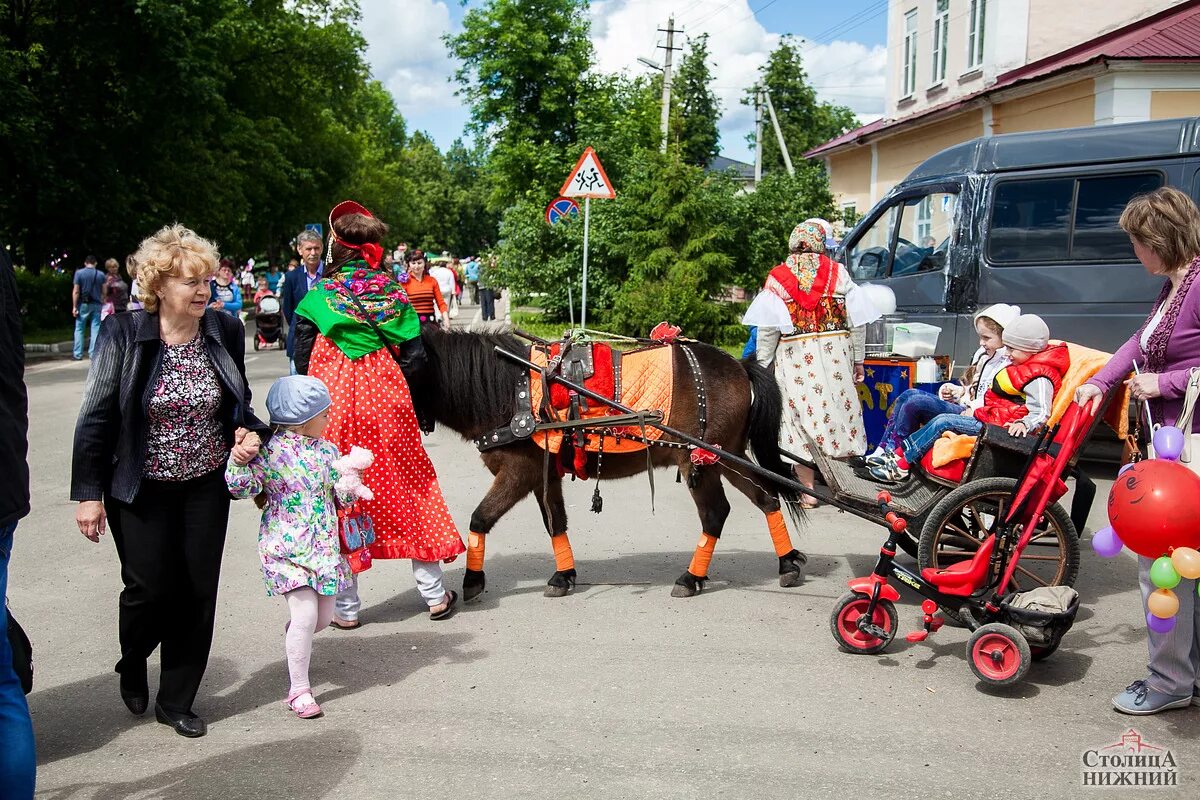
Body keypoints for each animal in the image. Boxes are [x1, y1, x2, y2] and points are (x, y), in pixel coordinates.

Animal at [417, 328, 801, 597]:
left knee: (715, 514)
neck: (515, 390)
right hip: (726, 456)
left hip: (700, 459)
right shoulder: (545, 474)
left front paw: (473, 579)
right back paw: (788, 563)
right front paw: (564, 576)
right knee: (766, 498)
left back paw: (691, 578)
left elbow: (480, 518)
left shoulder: (518, 472)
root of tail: (739, 366)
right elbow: (555, 522)